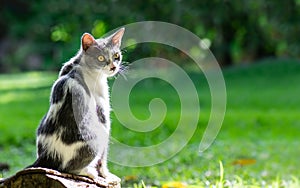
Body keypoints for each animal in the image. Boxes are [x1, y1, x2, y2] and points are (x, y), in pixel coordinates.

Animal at [28, 27, 125, 184]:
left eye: (116, 55)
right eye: (100, 58)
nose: (113, 67)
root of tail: (48, 155)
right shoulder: (103, 115)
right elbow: (103, 157)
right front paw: (107, 176)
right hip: (95, 134)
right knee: (68, 168)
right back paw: (90, 172)